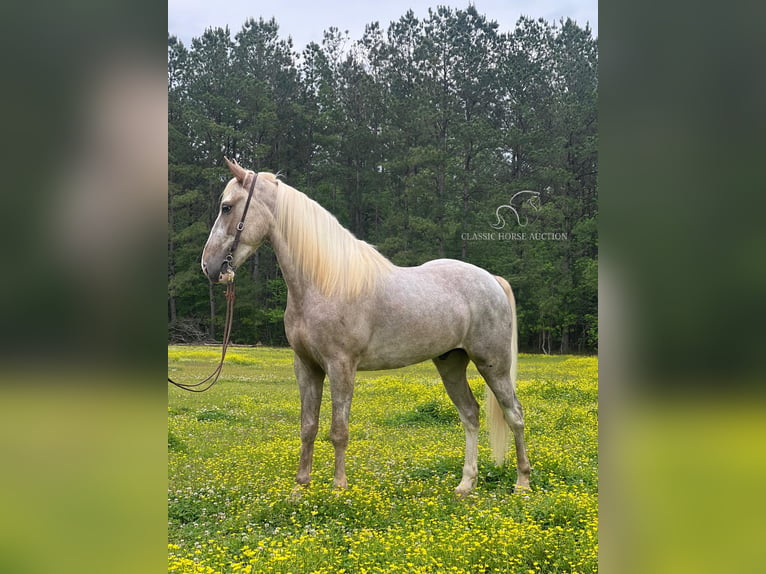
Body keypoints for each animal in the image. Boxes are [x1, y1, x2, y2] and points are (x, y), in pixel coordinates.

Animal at [201, 158, 532, 496]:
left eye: (227, 207)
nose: (209, 266)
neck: (324, 282)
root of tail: (492, 280)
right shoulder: (306, 366)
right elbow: (308, 427)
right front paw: (300, 488)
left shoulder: (341, 366)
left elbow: (338, 430)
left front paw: (338, 488)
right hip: (451, 364)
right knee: (470, 415)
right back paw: (466, 484)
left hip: (493, 365)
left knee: (514, 415)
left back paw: (522, 482)